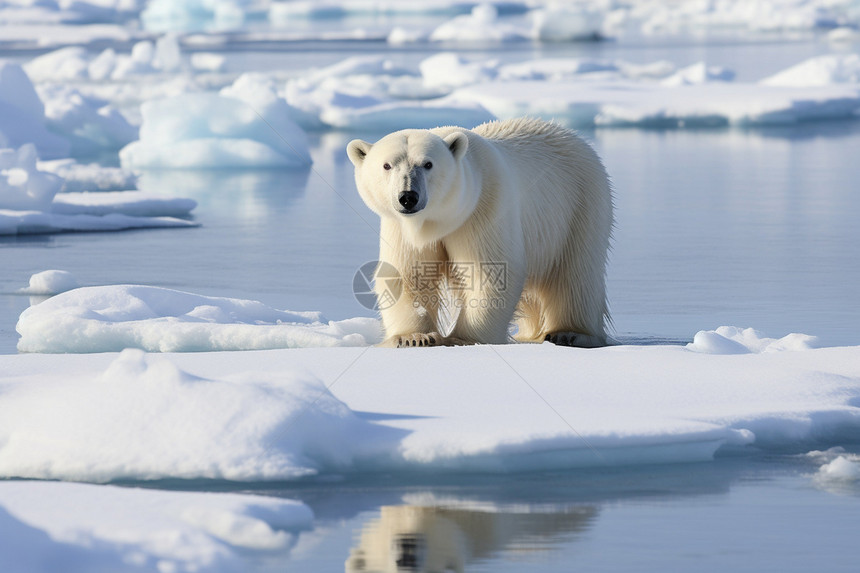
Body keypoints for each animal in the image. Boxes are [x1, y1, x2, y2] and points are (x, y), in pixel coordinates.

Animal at [348, 118, 612, 346]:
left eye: (428, 164)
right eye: (387, 165)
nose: (408, 197)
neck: (440, 219)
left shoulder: (484, 207)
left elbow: (489, 271)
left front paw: (463, 338)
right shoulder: (401, 227)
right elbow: (406, 274)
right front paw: (414, 337)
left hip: (580, 203)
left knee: (576, 273)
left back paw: (569, 333)